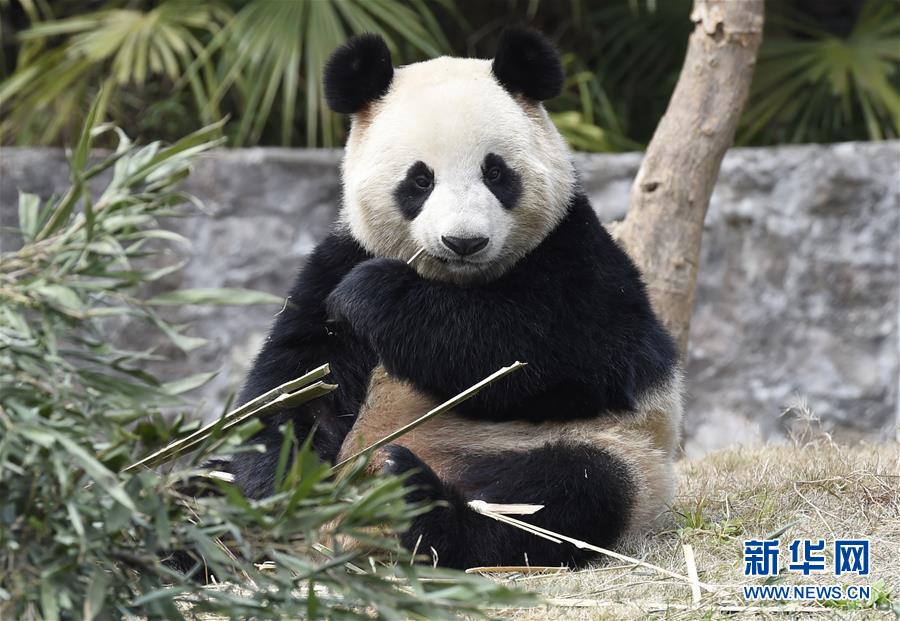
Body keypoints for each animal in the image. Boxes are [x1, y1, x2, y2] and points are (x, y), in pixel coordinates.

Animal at [230, 30, 684, 572]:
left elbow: (568, 350)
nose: (463, 242)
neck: (452, 282)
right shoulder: (338, 259)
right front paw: (276, 493)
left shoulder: (578, 254)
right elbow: (300, 381)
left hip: (613, 450)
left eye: (497, 173)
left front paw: (375, 294)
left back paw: (416, 499)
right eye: (420, 179)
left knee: (564, 495)